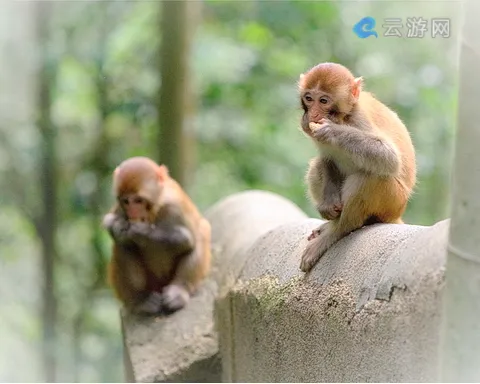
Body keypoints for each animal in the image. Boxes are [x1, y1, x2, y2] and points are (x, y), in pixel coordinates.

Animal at [102, 156, 211, 316]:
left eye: (138, 200)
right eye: (126, 201)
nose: (132, 212)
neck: (157, 205)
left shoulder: (175, 206)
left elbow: (187, 239)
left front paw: (141, 232)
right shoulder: (120, 210)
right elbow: (109, 221)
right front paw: (118, 226)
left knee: (201, 233)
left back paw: (179, 291)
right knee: (122, 245)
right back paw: (141, 299)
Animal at [298, 63, 414, 272]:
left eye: (324, 100)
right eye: (308, 98)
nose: (313, 114)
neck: (343, 116)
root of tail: (397, 214)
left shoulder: (360, 119)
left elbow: (389, 158)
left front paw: (332, 131)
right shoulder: (308, 127)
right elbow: (327, 159)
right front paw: (328, 203)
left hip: (393, 200)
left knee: (370, 176)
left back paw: (338, 229)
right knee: (317, 166)